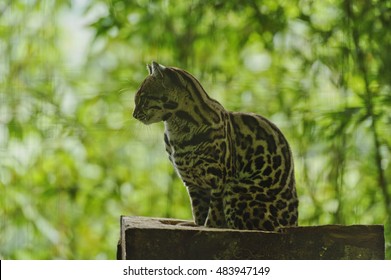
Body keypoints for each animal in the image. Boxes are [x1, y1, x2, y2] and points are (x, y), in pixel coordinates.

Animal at [133, 62, 298, 231]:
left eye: (143, 98)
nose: (134, 114)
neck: (177, 130)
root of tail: (291, 224)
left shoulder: (220, 177)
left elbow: (215, 209)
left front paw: (209, 226)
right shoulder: (193, 183)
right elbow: (199, 208)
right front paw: (197, 225)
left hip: (237, 189)